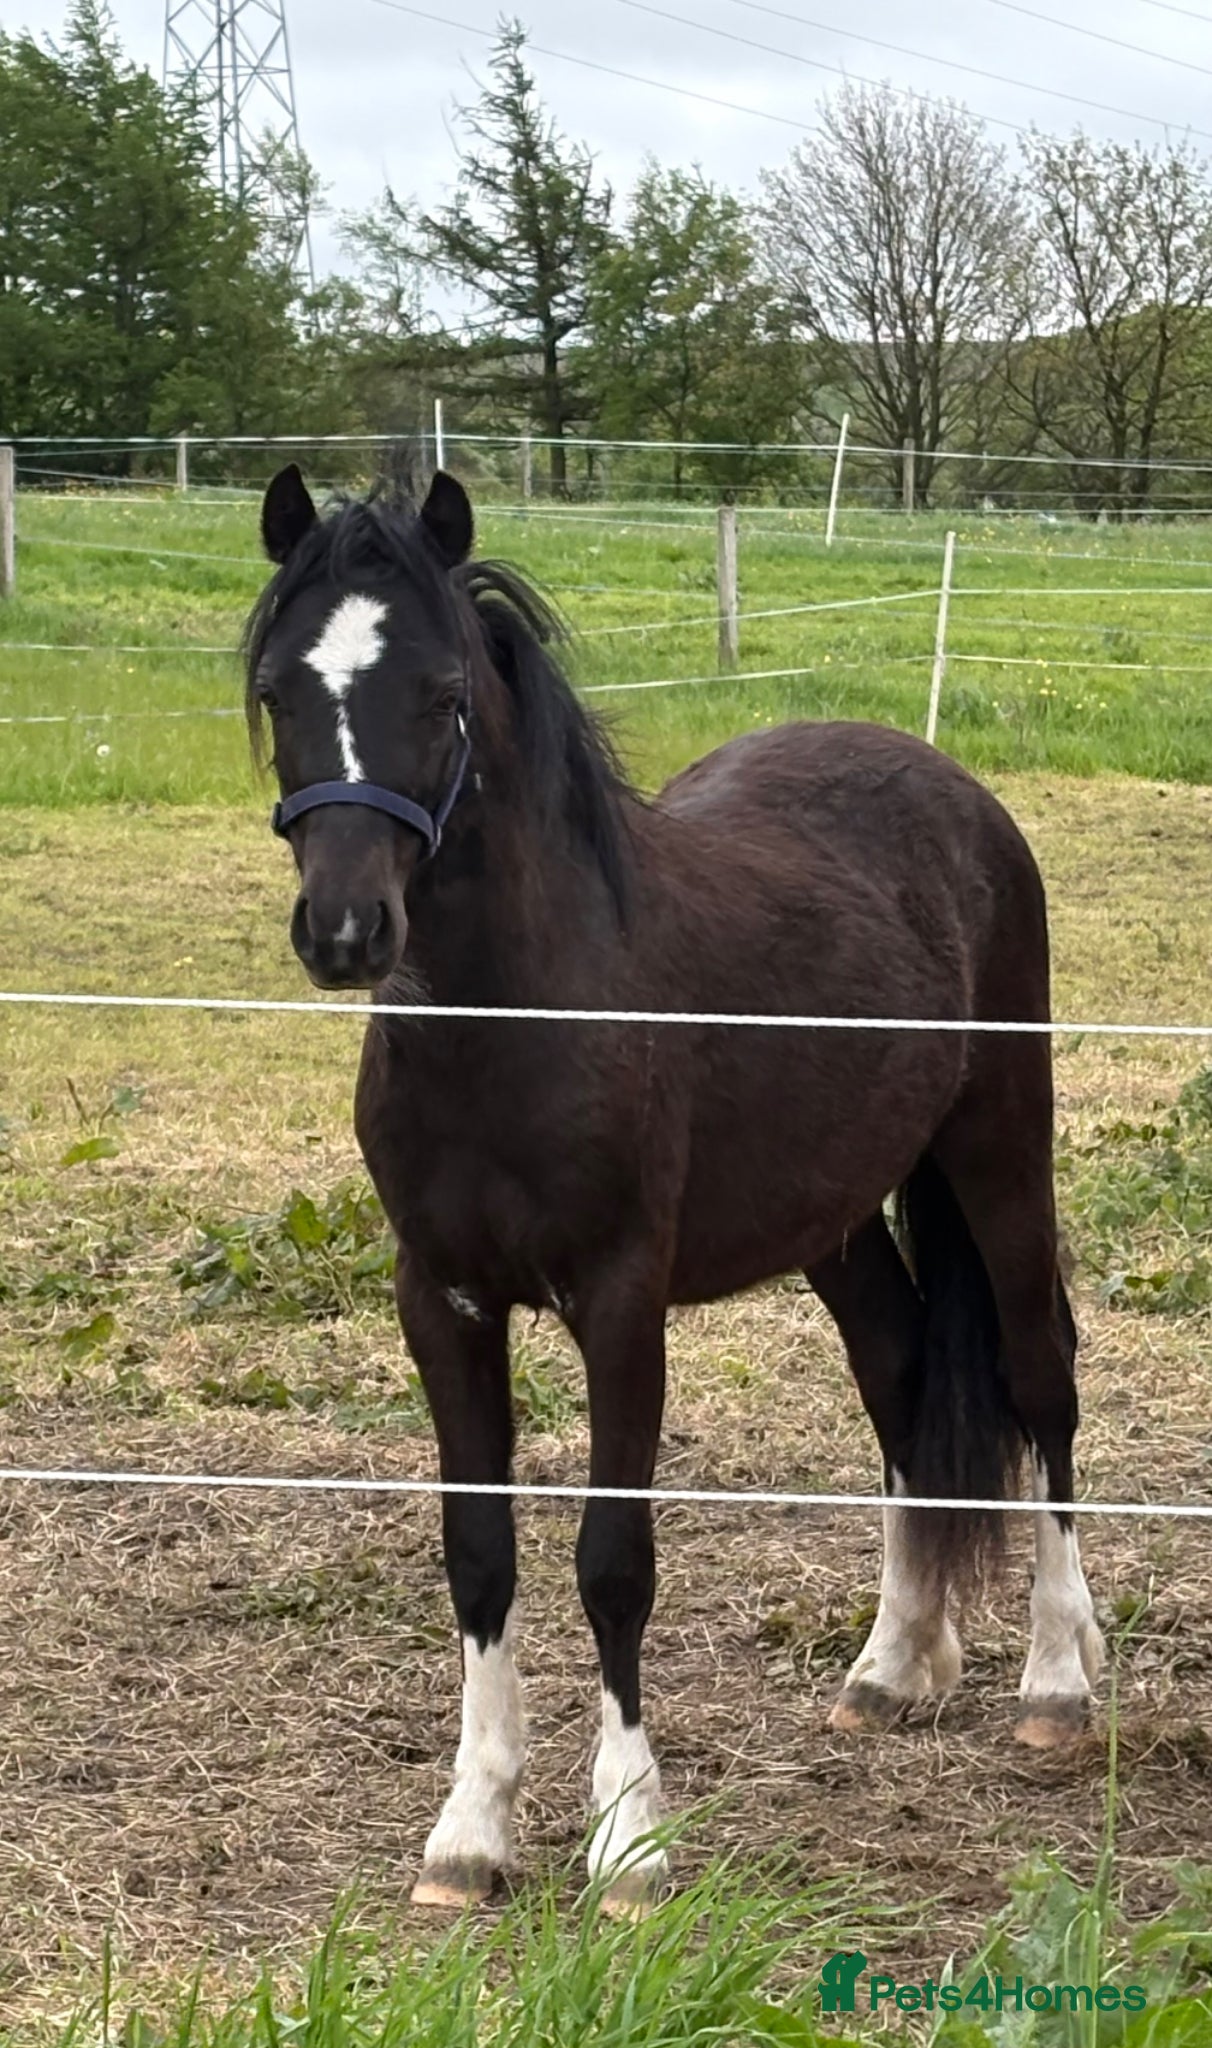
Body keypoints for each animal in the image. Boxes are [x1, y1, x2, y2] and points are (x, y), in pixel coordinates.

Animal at [245, 464, 1104, 1915]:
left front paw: (631, 1839)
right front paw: (470, 1832)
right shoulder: (443, 1302)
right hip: (832, 1215)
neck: (517, 1017)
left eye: (443, 694)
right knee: (899, 1375)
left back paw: (1057, 1677)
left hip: (998, 1148)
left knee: (1040, 1373)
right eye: (277, 689)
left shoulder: (619, 1301)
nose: (347, 930)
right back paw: (892, 1665)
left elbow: (612, 1560)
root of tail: (954, 790)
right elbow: (479, 1553)